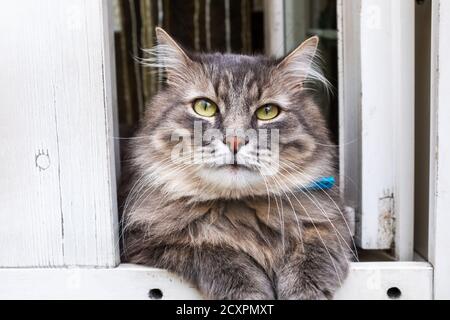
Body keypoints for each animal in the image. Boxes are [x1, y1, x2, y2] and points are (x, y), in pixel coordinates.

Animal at [121, 27, 354, 300]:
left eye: (267, 112)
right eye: (204, 107)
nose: (234, 141)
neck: (240, 210)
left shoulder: (329, 227)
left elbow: (310, 263)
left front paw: (302, 293)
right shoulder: (151, 243)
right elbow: (224, 256)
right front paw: (252, 295)